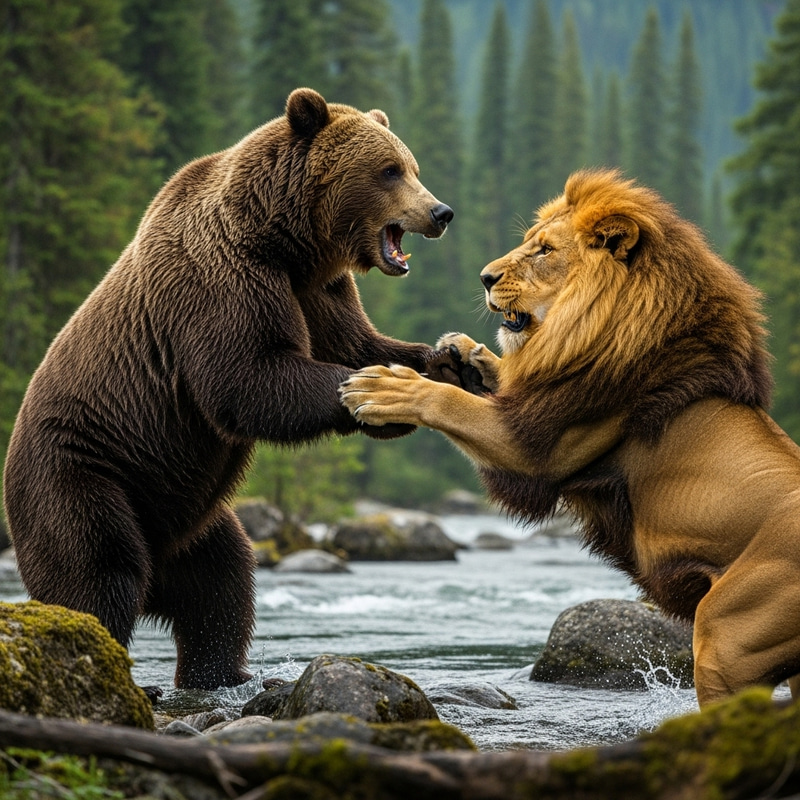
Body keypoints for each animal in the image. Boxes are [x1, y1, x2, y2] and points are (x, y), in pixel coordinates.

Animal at [3, 88, 453, 690]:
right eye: (389, 171)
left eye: (412, 167)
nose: (440, 212)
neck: (288, 243)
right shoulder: (221, 277)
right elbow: (249, 378)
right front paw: (381, 390)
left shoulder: (320, 290)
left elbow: (357, 343)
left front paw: (448, 362)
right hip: (81, 472)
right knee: (98, 572)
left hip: (190, 518)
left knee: (222, 582)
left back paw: (221, 672)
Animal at [339, 168, 800, 708]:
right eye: (529, 242)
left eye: (544, 250)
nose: (485, 277)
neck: (599, 328)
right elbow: (500, 373)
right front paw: (463, 354)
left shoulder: (534, 445)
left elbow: (450, 404)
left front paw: (385, 387)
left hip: (726, 637)